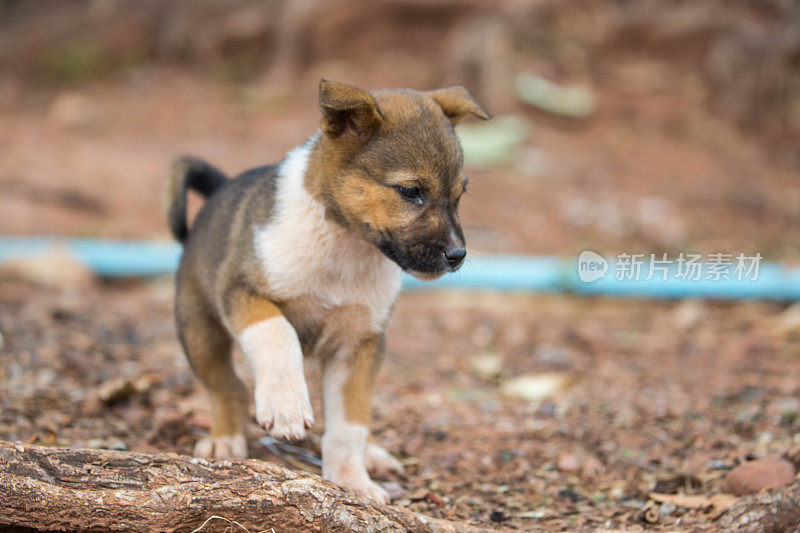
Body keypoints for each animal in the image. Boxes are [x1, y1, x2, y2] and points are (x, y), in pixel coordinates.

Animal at [164, 80, 488, 502]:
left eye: (460, 195)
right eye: (410, 191)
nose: (457, 255)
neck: (344, 248)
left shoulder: (359, 347)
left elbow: (350, 425)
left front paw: (351, 481)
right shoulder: (242, 294)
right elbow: (277, 332)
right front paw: (285, 404)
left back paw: (373, 455)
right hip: (199, 332)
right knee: (227, 388)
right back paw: (225, 438)